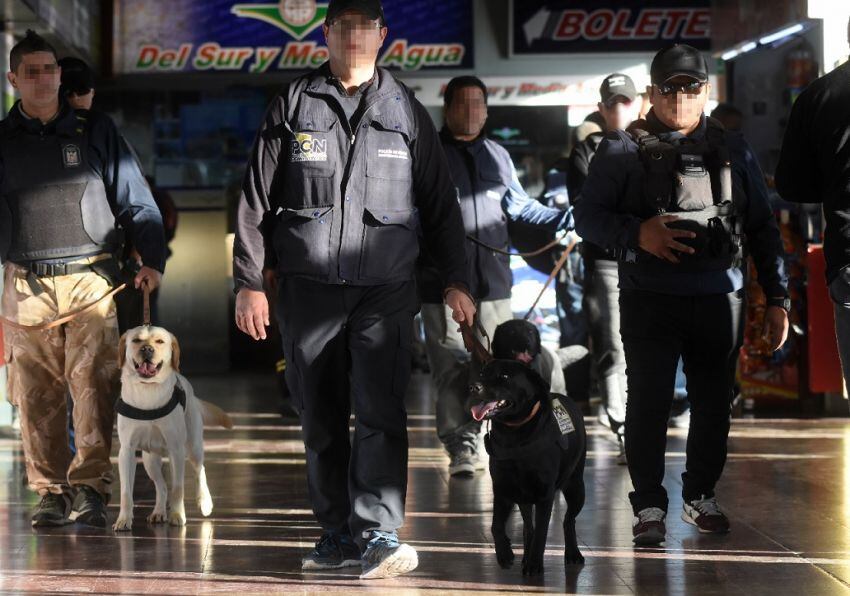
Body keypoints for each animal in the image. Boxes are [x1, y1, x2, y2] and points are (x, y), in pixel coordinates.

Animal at [112, 326, 234, 532]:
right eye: (136, 340)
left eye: (160, 341)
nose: (147, 349)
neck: (148, 390)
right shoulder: (126, 451)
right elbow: (126, 492)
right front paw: (124, 519)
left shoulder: (176, 449)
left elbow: (178, 488)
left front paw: (177, 515)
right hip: (150, 460)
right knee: (161, 486)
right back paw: (159, 511)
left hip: (193, 446)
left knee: (200, 470)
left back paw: (205, 501)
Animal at [468, 358, 588, 572]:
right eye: (482, 373)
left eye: (505, 376)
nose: (474, 387)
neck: (513, 435)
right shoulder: (502, 490)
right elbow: (496, 525)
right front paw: (505, 553)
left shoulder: (545, 495)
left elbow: (542, 532)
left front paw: (534, 565)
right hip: (523, 496)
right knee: (528, 526)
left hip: (576, 487)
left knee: (568, 520)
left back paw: (572, 553)